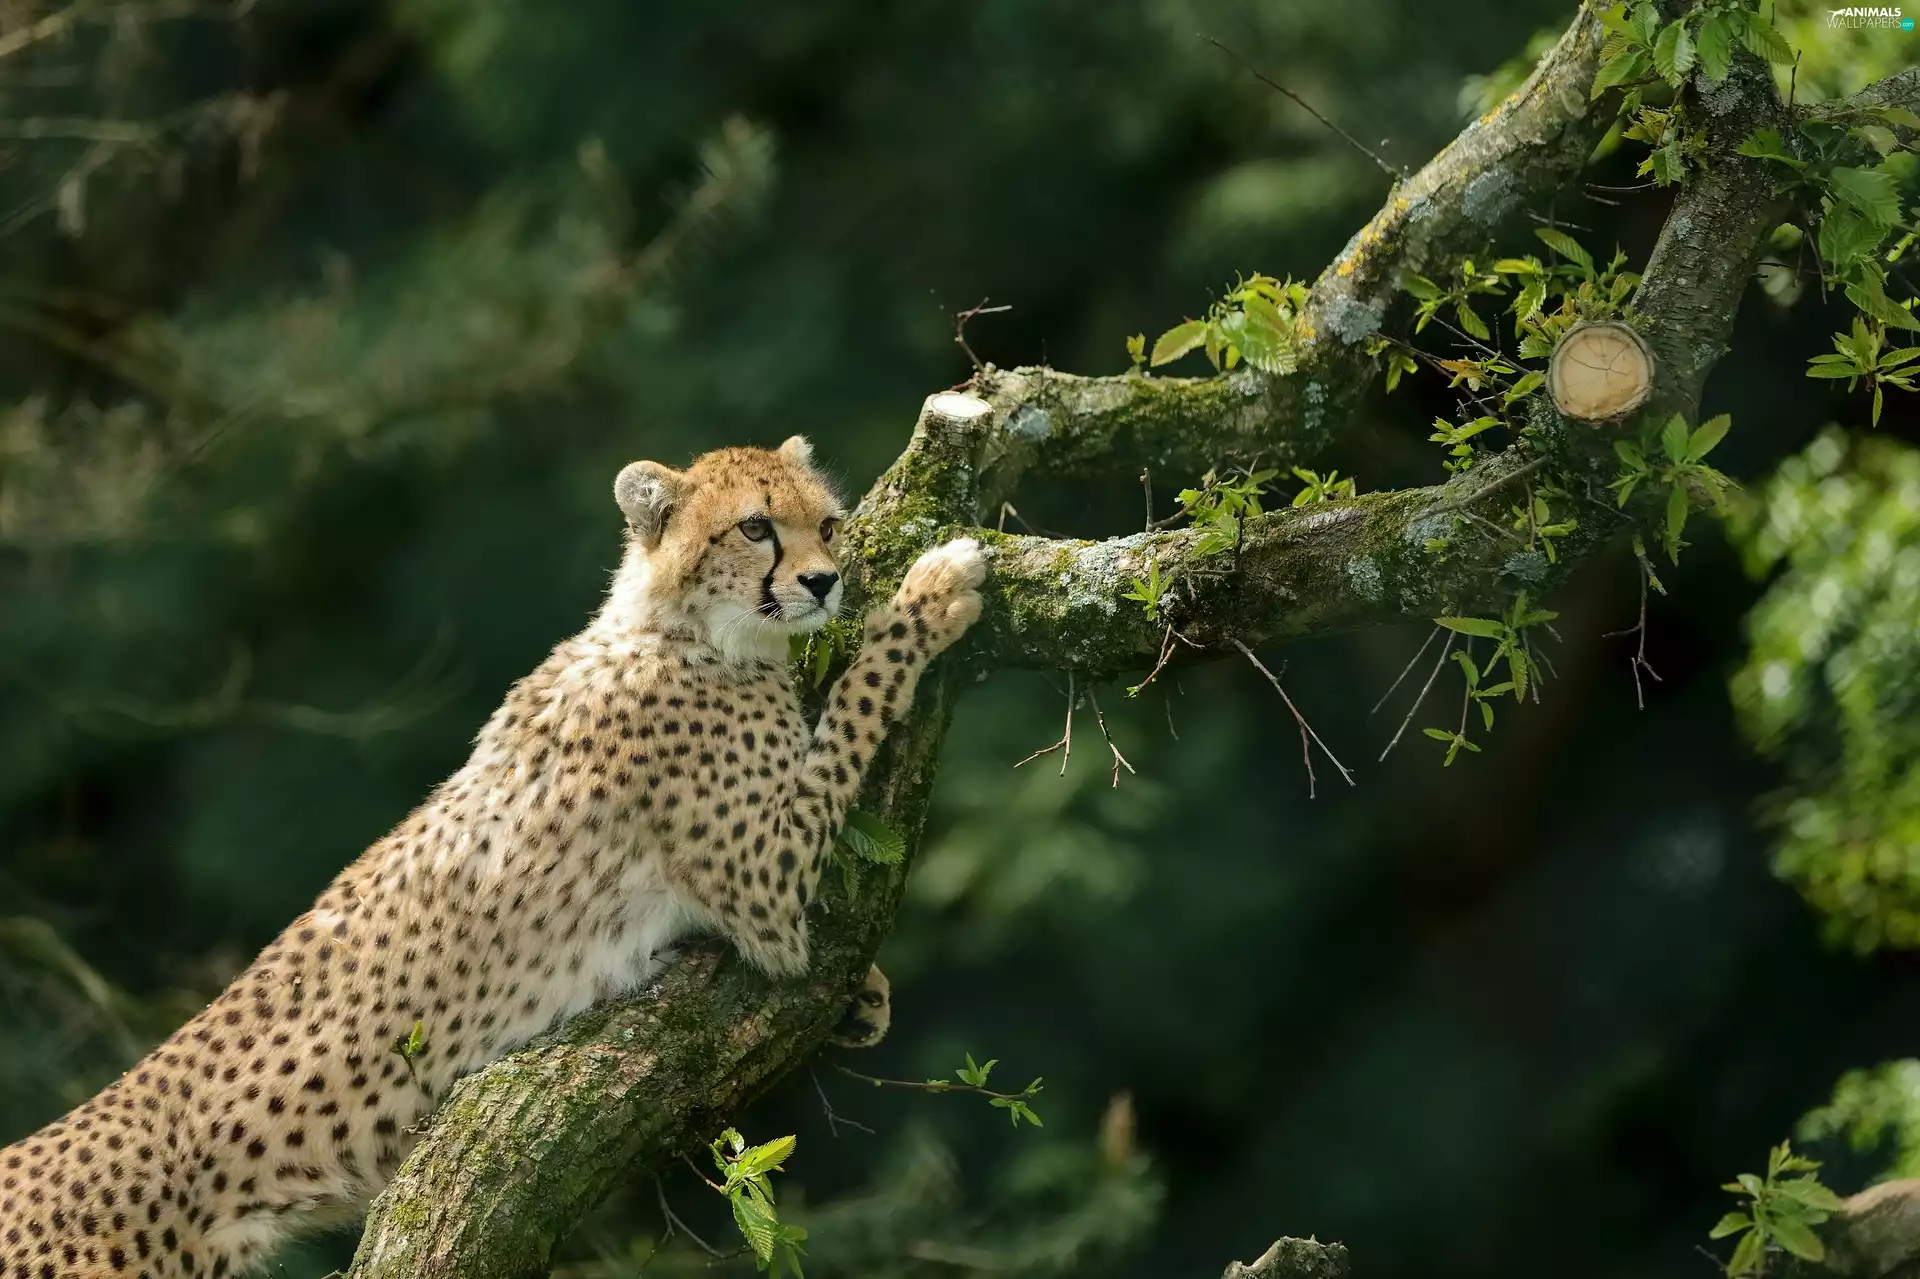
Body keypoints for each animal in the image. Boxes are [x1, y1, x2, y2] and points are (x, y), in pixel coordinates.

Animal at [0, 434, 985, 1279]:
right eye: (755, 527)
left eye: (829, 524)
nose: (824, 581)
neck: (681, 629)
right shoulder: (766, 884)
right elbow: (855, 708)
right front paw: (932, 595)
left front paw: (867, 993)